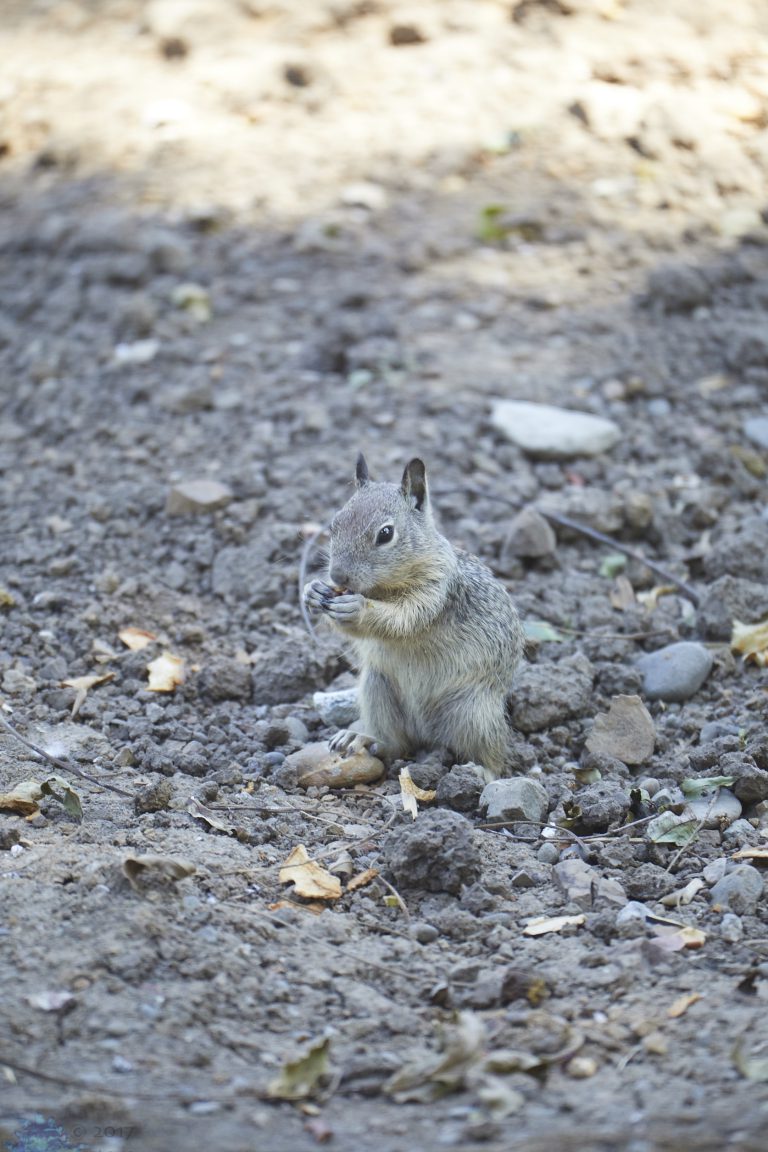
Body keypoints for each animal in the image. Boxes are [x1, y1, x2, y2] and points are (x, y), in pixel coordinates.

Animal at [303, 454, 524, 780]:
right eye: (334, 524)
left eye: (385, 534)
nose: (337, 576)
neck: (382, 589)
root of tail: (427, 736)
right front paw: (312, 591)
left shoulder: (436, 589)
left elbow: (405, 618)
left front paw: (359, 609)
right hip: (377, 688)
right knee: (396, 745)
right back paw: (363, 738)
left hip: (472, 712)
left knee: (493, 754)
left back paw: (482, 772)